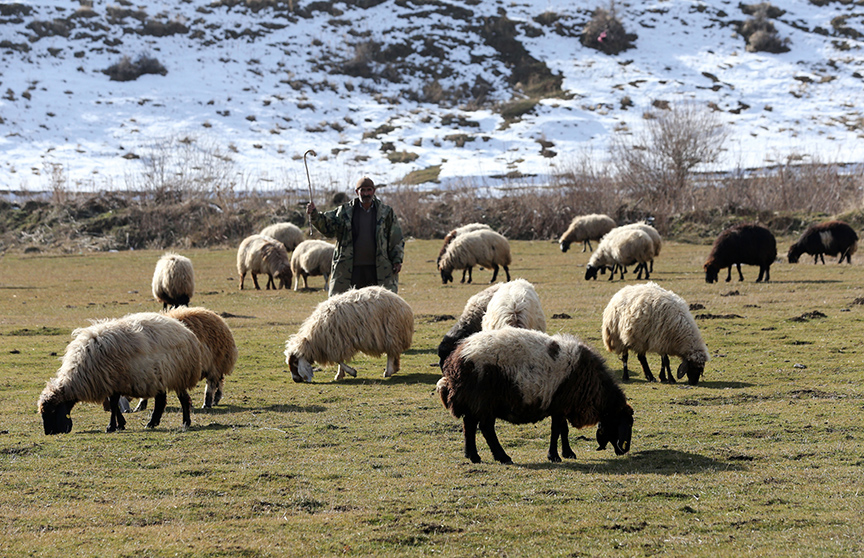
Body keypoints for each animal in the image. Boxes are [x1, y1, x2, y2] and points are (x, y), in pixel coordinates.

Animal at [38, 312, 202, 436]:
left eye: (52, 411)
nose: (49, 433)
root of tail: (185, 330)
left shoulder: (114, 380)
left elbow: (113, 404)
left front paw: (111, 427)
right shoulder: (112, 383)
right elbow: (114, 405)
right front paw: (120, 424)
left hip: (178, 374)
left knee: (183, 399)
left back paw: (185, 422)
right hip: (160, 377)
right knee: (161, 400)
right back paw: (152, 423)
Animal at [286, 286, 414, 382]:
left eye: (295, 362)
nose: (295, 380)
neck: (314, 339)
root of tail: (402, 303)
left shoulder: (336, 342)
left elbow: (338, 360)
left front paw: (351, 372)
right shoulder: (337, 343)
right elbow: (339, 360)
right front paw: (340, 374)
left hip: (391, 332)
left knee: (390, 354)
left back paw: (388, 371)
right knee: (394, 352)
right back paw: (395, 368)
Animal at [438, 330, 636, 466]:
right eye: (625, 423)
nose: (624, 450)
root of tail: (456, 360)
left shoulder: (562, 407)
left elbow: (563, 430)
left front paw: (568, 453)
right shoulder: (560, 406)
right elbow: (557, 430)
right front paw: (554, 456)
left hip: (474, 402)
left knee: (469, 425)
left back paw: (472, 455)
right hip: (484, 401)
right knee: (486, 429)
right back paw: (502, 457)